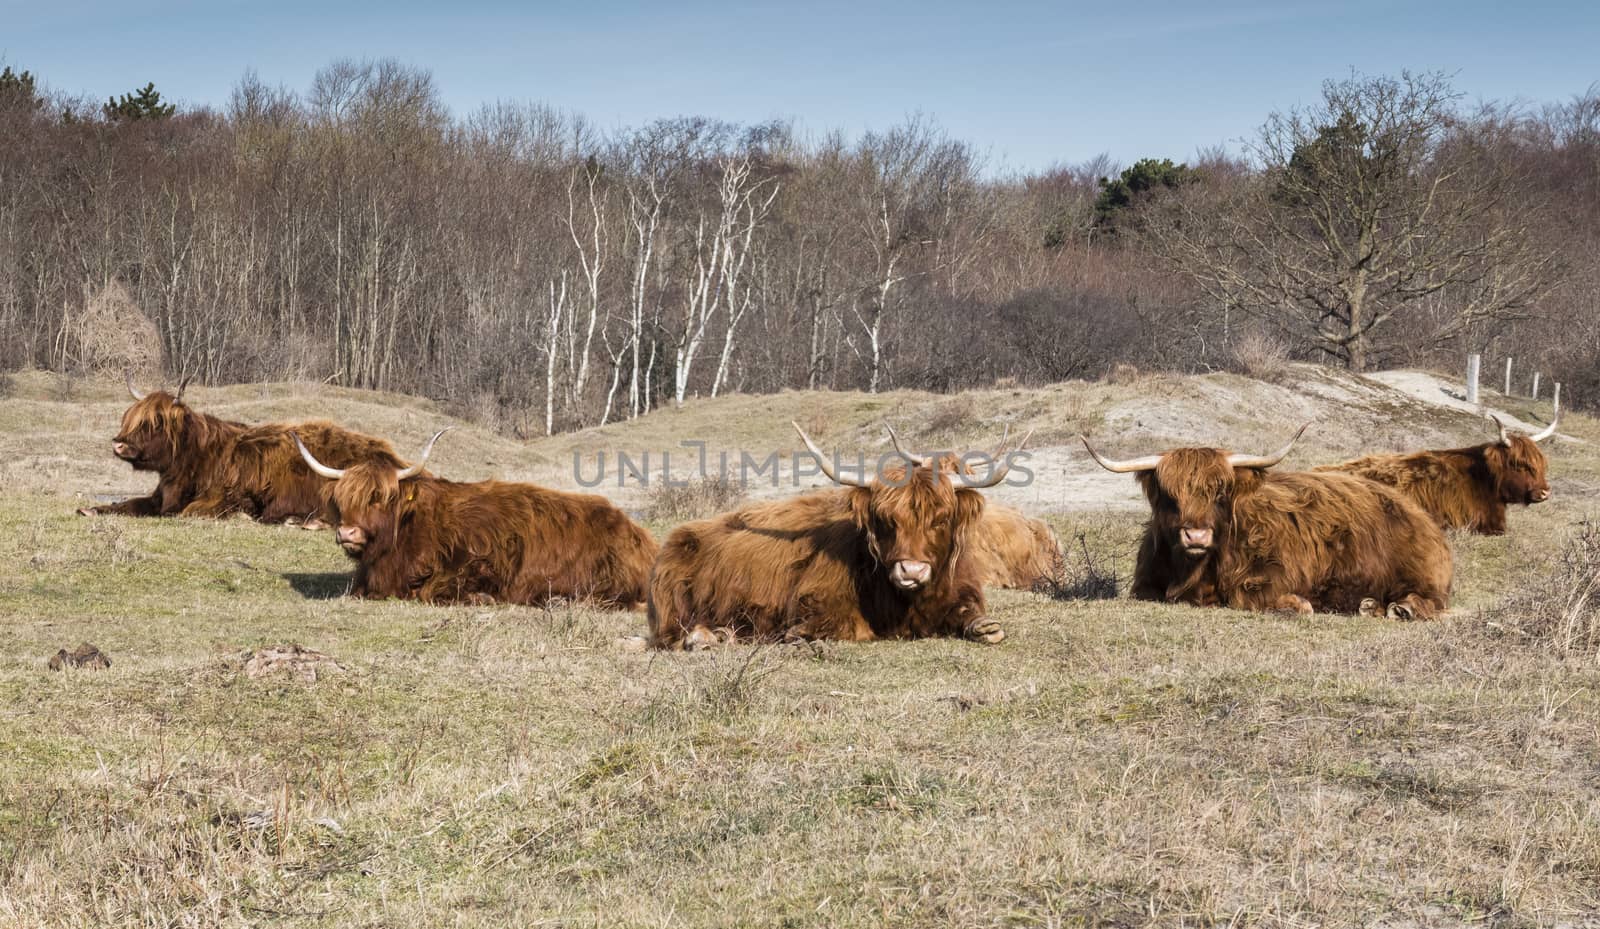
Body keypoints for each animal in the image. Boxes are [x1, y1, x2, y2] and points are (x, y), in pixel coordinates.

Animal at [80, 372, 406, 524]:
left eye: (155, 423)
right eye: (129, 417)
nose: (119, 444)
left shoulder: (226, 498)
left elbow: (187, 513)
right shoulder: (160, 498)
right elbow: (128, 504)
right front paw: (90, 509)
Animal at [294, 428, 656, 607]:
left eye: (379, 498)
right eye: (342, 500)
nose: (348, 533)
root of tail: (638, 533)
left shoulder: (484, 561)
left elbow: (431, 591)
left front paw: (480, 598)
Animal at [643, 422, 1017, 649]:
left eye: (941, 519)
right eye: (886, 520)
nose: (911, 570)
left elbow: (983, 623)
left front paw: (985, 627)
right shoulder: (819, 606)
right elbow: (837, 628)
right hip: (672, 606)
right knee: (674, 634)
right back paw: (709, 637)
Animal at [1088, 428, 1452, 623]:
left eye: (1221, 493)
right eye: (1169, 495)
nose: (1196, 534)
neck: (1193, 571)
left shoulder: (1267, 578)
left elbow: (1255, 598)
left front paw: (1297, 605)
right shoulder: (1145, 585)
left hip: (1420, 573)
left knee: (1431, 600)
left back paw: (1401, 608)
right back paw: (1367, 605)